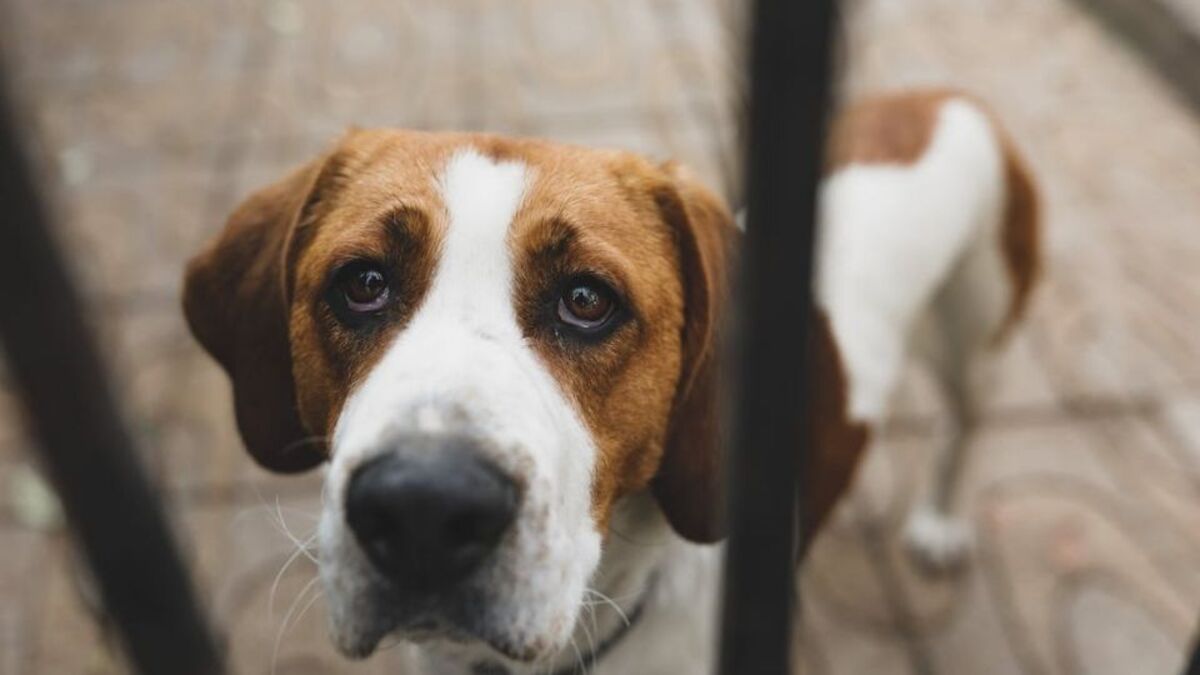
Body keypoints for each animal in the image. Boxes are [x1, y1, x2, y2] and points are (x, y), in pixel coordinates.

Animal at [184, 86, 1032, 667]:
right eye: (362, 283)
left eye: (587, 300)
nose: (424, 505)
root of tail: (939, 97)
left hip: (976, 333)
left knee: (965, 421)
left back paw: (938, 522)